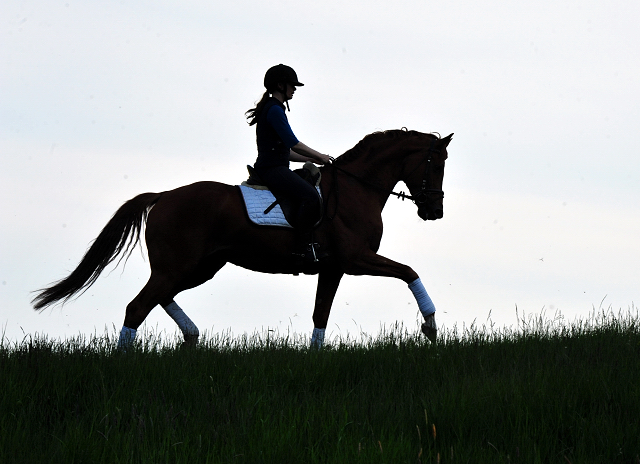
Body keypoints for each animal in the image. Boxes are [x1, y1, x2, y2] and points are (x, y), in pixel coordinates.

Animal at [32, 130, 452, 348]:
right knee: (138, 307)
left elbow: (321, 314)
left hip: (200, 267)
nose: (435, 211)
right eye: (436, 163)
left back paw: (192, 337)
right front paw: (431, 326)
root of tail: (164, 196)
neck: (354, 189)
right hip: (179, 265)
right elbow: (409, 271)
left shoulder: (332, 268)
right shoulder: (354, 259)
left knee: (160, 298)